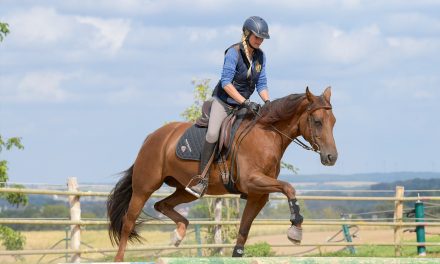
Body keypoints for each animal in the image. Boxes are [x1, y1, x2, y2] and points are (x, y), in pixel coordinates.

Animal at [106, 86, 336, 260]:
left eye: (333, 121)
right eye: (317, 121)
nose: (331, 157)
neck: (267, 135)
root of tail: (152, 137)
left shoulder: (258, 194)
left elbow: (243, 230)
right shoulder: (252, 182)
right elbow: (289, 188)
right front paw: (296, 228)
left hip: (186, 189)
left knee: (162, 205)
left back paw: (178, 234)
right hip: (144, 186)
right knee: (128, 222)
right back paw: (120, 257)